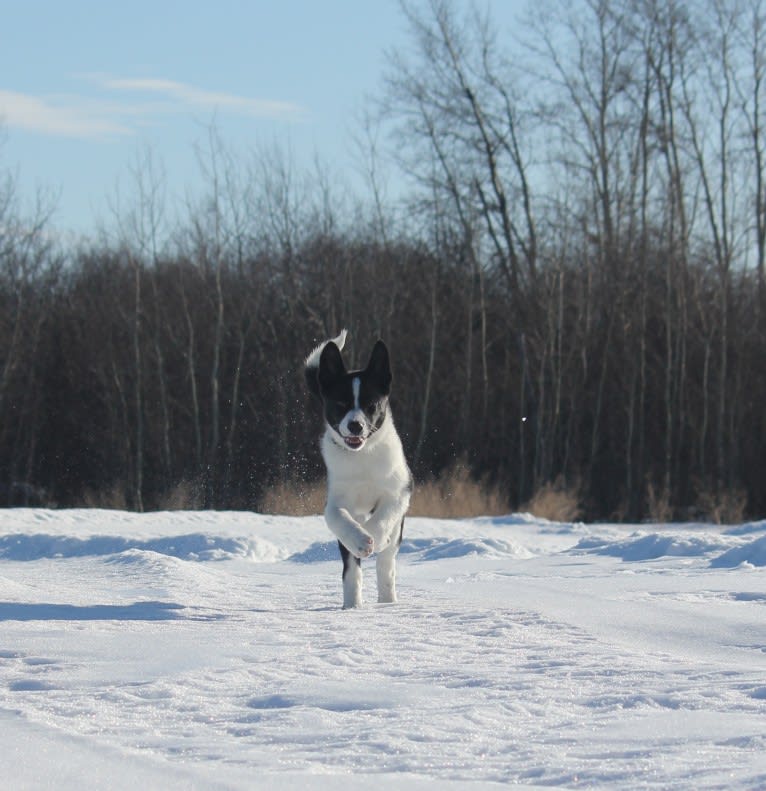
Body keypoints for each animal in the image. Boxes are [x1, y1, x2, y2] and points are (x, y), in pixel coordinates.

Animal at [306, 332, 414, 608]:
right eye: (340, 403)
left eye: (371, 404)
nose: (356, 425)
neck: (362, 456)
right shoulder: (335, 500)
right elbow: (338, 518)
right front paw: (360, 539)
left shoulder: (400, 490)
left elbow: (384, 516)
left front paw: (372, 536)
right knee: (351, 570)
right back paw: (352, 605)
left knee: (386, 564)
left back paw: (387, 599)